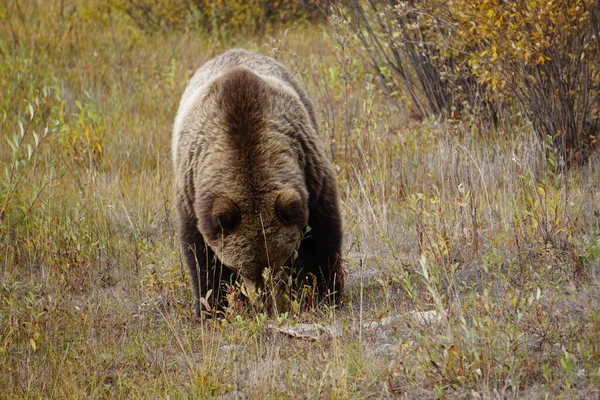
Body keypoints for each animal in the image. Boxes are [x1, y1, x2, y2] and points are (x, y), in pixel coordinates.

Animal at [172, 48, 342, 314]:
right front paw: (212, 307)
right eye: (242, 267)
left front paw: (326, 294)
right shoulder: (192, 194)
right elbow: (202, 258)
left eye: (279, 259)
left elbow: (321, 236)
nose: (265, 301)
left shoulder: (309, 170)